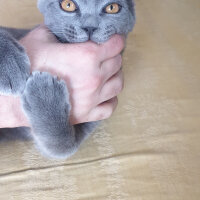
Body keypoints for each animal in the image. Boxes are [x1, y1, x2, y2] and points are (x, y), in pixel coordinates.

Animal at [0, 0, 136, 159]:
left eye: (112, 7)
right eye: (68, 5)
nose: (90, 27)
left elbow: (63, 147)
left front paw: (45, 93)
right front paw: (11, 66)